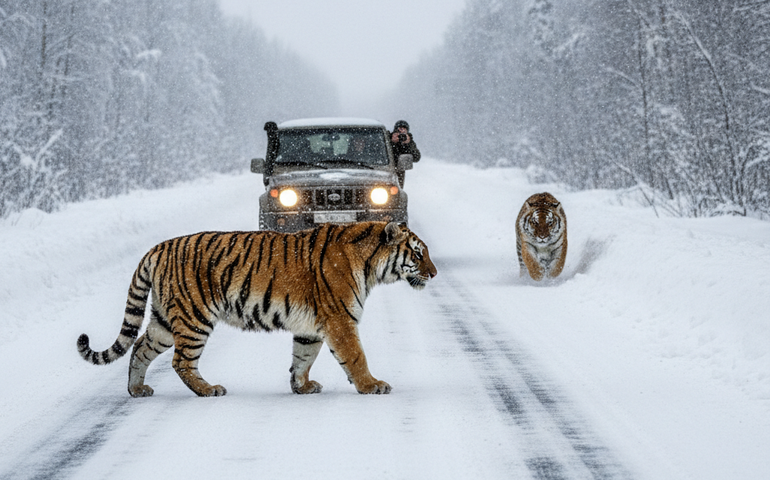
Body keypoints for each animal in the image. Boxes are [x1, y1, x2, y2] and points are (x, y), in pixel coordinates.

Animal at [77, 221, 437, 397]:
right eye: (418, 254)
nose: (434, 274)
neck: (370, 264)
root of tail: (158, 247)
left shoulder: (310, 328)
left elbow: (302, 358)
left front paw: (302, 387)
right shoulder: (340, 318)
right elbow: (355, 356)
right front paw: (371, 385)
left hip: (164, 320)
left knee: (139, 348)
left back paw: (137, 389)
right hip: (194, 317)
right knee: (181, 362)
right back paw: (209, 390)